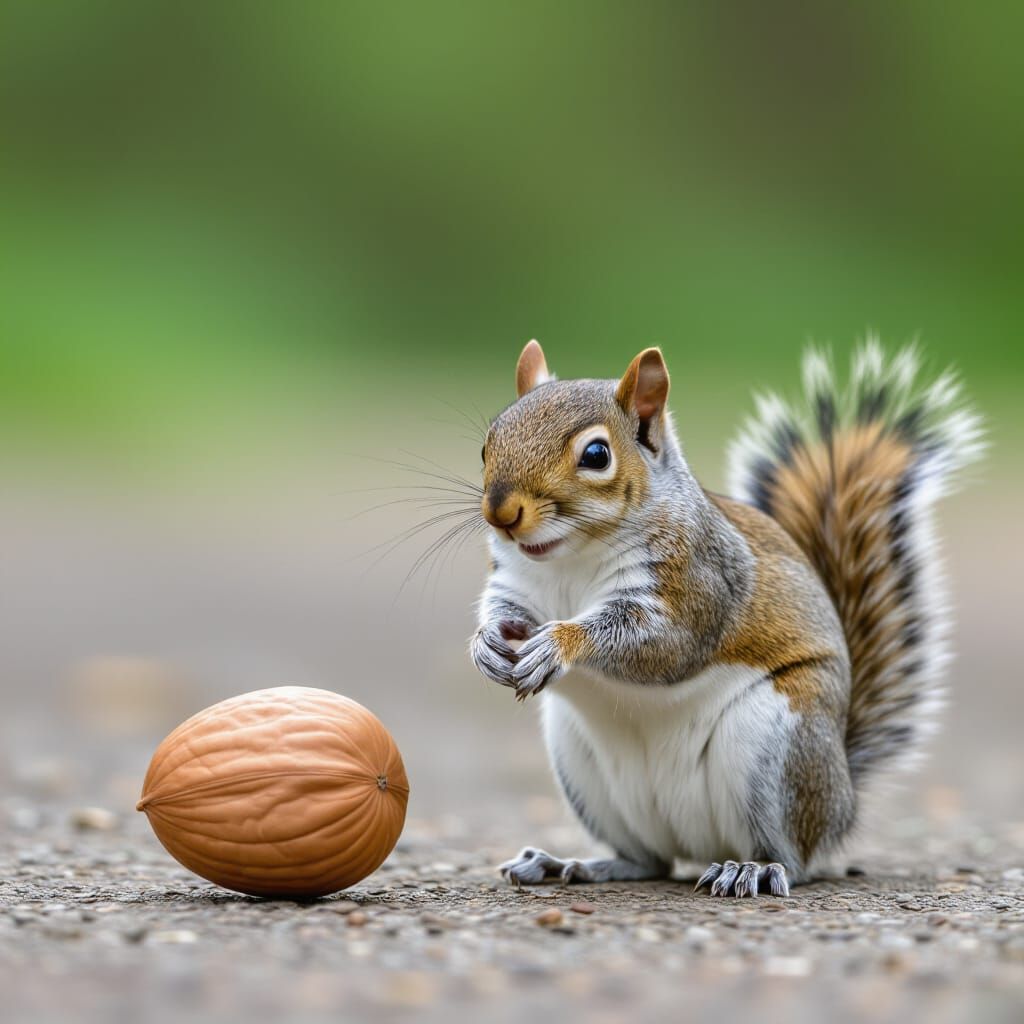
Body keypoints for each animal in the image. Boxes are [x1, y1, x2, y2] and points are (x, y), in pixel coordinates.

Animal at [469, 338, 983, 896]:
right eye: (487, 444)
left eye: (596, 455)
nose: (501, 513)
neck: (570, 558)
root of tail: (844, 796)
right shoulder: (516, 584)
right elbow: (502, 611)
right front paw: (485, 644)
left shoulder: (699, 585)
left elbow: (660, 646)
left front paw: (558, 643)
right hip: (583, 769)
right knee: (647, 860)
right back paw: (572, 864)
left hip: (780, 750)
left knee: (796, 857)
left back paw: (754, 868)